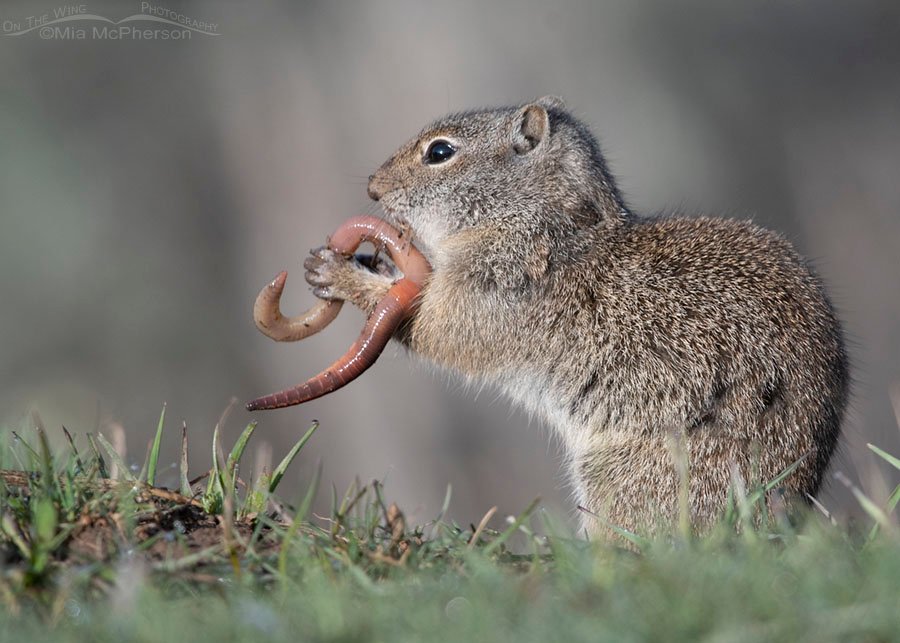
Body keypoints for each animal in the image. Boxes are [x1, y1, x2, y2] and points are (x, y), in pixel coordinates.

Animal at [303, 96, 849, 537]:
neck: (539, 219)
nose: (372, 188)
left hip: (626, 478)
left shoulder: (497, 288)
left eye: (440, 152)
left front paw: (343, 274)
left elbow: (439, 329)